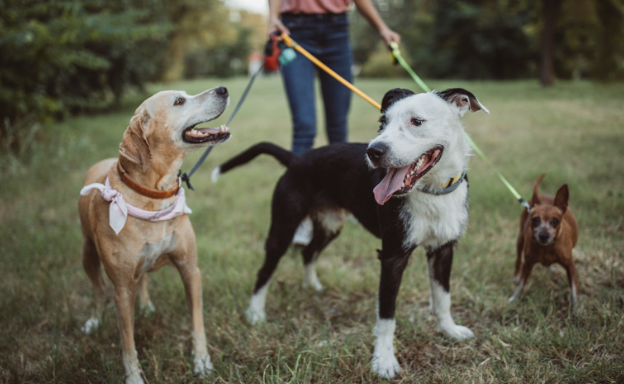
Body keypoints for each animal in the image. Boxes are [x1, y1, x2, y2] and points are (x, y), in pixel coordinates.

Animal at [212, 88, 490, 378]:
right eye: (383, 122)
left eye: (417, 121)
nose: (374, 151)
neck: (432, 191)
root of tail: (296, 159)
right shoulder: (392, 256)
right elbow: (387, 315)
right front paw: (383, 360)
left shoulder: (443, 250)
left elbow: (443, 297)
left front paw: (449, 331)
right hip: (283, 228)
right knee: (265, 271)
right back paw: (255, 313)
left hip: (330, 226)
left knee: (309, 252)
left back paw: (312, 286)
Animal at [508, 174, 580, 312]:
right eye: (535, 219)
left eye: (555, 221)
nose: (543, 236)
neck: (547, 248)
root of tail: (541, 195)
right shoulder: (528, 264)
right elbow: (521, 284)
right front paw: (514, 298)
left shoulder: (570, 266)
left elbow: (574, 289)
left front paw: (576, 308)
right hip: (520, 241)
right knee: (518, 259)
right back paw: (516, 275)